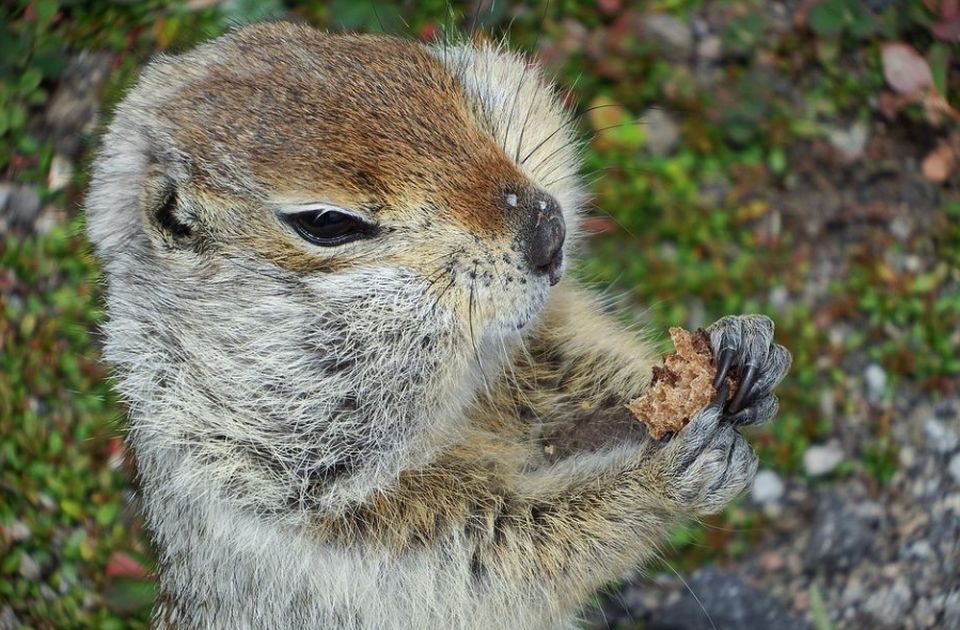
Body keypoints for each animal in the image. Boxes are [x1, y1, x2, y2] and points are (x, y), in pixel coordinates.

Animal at [86, 22, 792, 628]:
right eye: (326, 222)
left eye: (451, 90)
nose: (550, 231)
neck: (462, 392)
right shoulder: (324, 525)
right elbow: (506, 549)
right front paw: (669, 473)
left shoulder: (532, 355)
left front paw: (742, 351)